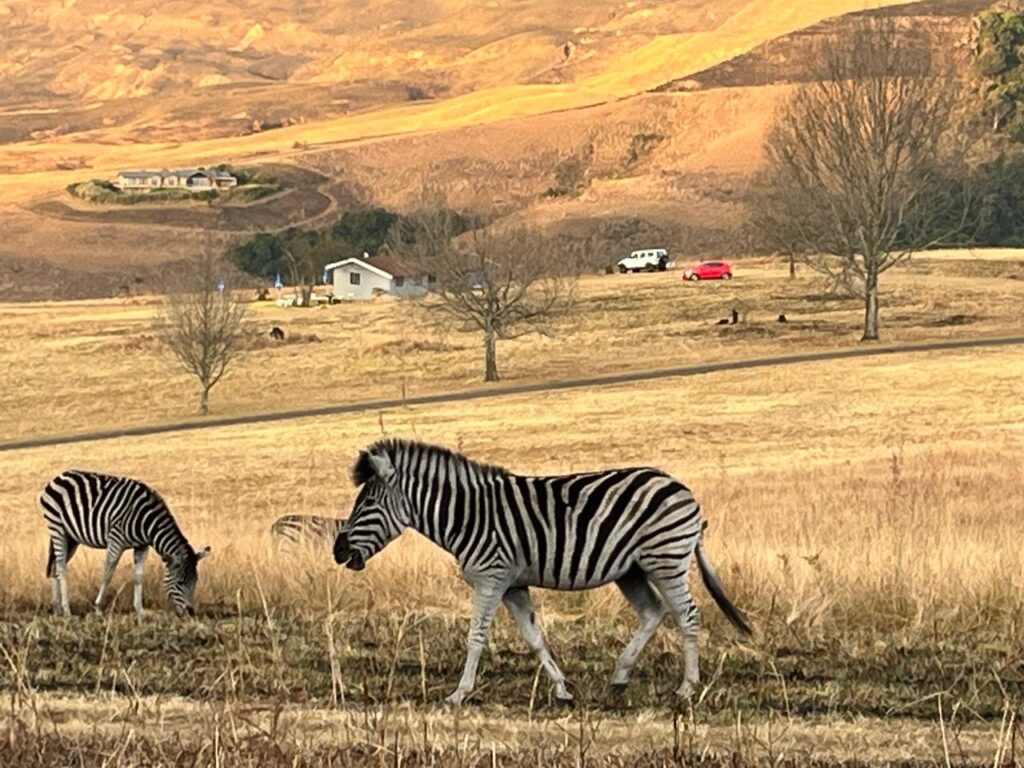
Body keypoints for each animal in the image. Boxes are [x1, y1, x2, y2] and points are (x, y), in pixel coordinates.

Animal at [40, 470, 210, 617]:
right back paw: (66, 610)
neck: (147, 523)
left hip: (71, 537)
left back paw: (57, 609)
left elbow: (139, 576)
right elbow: (108, 573)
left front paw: (140, 610)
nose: (191, 612)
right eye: (180, 582)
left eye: (195, 581)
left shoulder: (142, 546)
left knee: (54, 565)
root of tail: (60, 476)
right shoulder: (116, 540)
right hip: (57, 528)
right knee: (61, 566)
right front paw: (98, 608)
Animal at [333, 439, 751, 706]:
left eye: (366, 504)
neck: (467, 515)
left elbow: (475, 637)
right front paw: (563, 690)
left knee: (687, 615)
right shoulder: (513, 585)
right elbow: (534, 637)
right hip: (631, 569)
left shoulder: (491, 578)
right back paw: (619, 677)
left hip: (665, 559)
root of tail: (683, 489)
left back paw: (687, 688)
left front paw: (458, 694)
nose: (337, 551)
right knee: (653, 612)